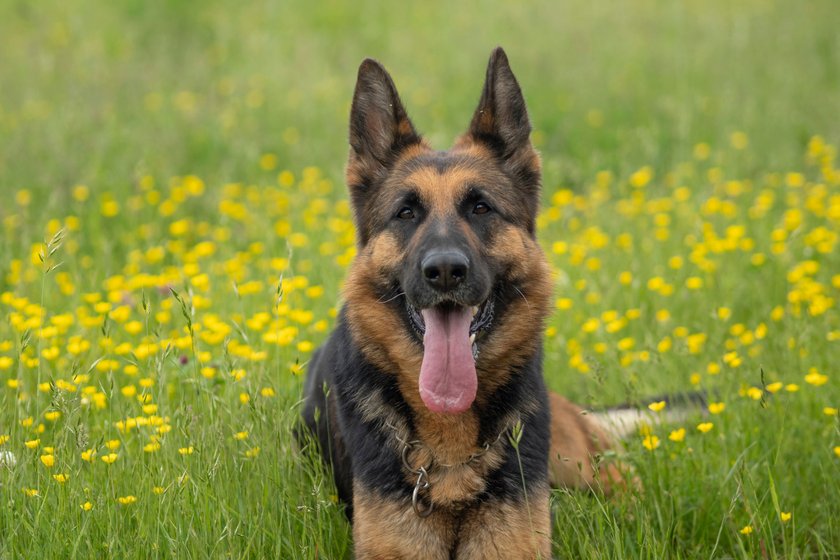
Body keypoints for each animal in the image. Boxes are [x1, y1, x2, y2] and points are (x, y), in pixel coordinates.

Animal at [300, 47, 624, 556]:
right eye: (406, 212)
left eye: (480, 207)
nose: (446, 271)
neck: (449, 437)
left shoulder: (517, 544)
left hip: (576, 462)